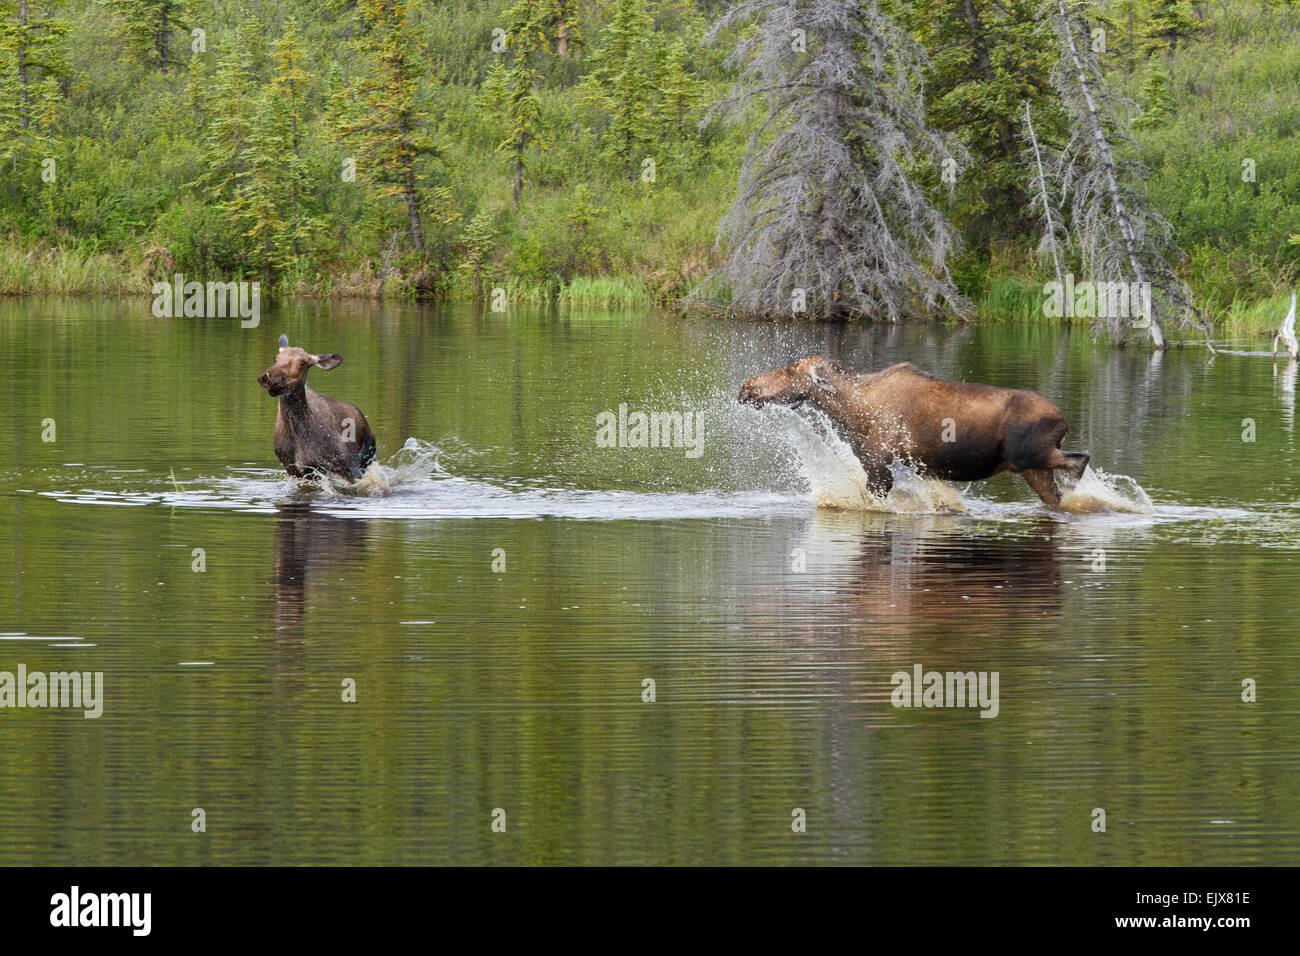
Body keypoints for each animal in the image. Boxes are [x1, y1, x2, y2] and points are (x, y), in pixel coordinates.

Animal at [738, 356, 1092, 509]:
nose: (747, 387)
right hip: (1033, 469)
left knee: (1080, 458)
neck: (852, 411)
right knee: (1057, 494)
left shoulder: (879, 466)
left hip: (1030, 456)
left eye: (789, 370)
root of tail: (1063, 421)